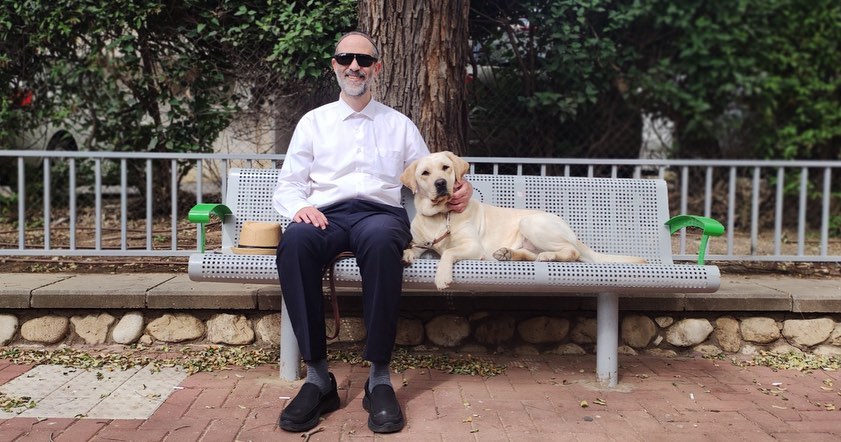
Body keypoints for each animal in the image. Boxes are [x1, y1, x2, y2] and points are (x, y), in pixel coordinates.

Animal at [398, 152, 644, 290]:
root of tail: (573, 233)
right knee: (531, 253)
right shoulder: (421, 244)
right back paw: (508, 253)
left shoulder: (472, 246)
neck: (440, 216)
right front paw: (406, 255)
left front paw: (442, 277)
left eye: (446, 168)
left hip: (530, 223)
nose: (440, 183)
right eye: (425, 173)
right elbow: (411, 248)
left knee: (571, 252)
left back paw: (548, 256)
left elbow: (448, 252)